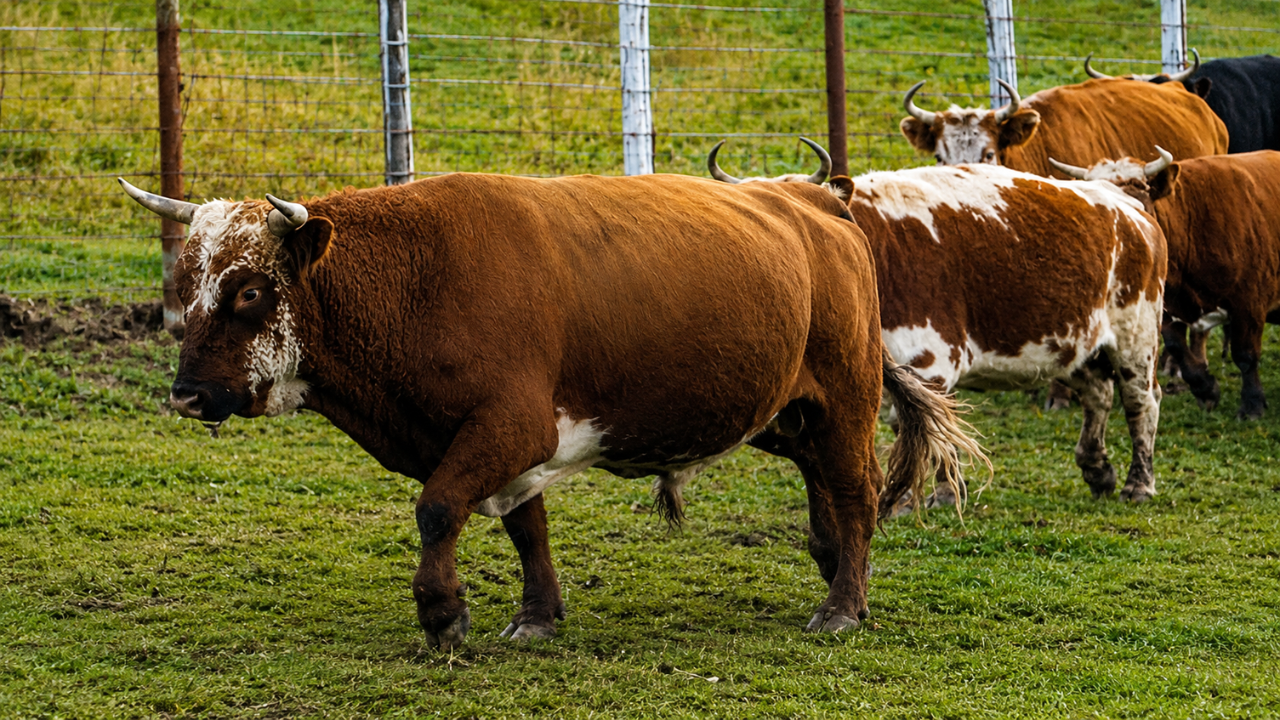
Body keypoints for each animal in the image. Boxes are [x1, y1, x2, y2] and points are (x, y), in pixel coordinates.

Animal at [117, 173, 982, 649]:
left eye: (249, 291)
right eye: (186, 285)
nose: (187, 394)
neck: (416, 277)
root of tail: (818, 199)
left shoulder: (510, 426)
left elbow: (439, 508)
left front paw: (442, 611)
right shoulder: (500, 444)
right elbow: (522, 525)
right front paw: (537, 615)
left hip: (845, 395)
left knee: (855, 490)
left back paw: (843, 604)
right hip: (784, 410)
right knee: (822, 482)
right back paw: (835, 566)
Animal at [710, 142, 1168, 506]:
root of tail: (1131, 207)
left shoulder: (929, 357)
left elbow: (923, 424)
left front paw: (934, 495)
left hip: (1137, 337)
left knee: (1140, 401)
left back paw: (1139, 484)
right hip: (1075, 344)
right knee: (1098, 395)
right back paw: (1097, 469)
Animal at [1048, 149, 1280, 419]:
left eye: (1137, 200)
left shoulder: (1249, 301)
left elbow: (1245, 354)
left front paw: (1252, 405)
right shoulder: (1165, 306)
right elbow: (1178, 349)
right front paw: (1206, 390)